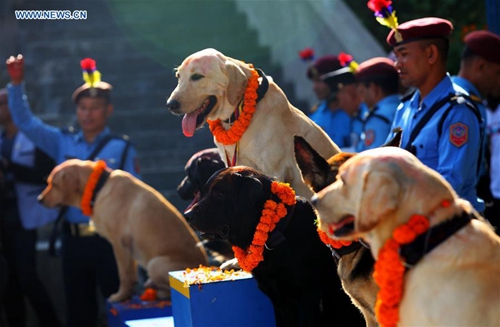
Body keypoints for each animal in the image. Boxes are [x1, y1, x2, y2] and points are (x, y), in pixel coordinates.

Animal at [38, 159, 208, 302]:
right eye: (49, 183)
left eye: (53, 184)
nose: (39, 199)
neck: (98, 187)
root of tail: (206, 265)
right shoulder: (128, 248)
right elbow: (131, 274)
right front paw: (128, 295)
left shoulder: (119, 243)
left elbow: (124, 274)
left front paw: (120, 297)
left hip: (155, 263)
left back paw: (158, 291)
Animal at [186, 168, 366, 326]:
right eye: (204, 192)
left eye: (219, 194)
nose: (188, 215)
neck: (277, 231)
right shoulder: (280, 301)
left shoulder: (308, 298)